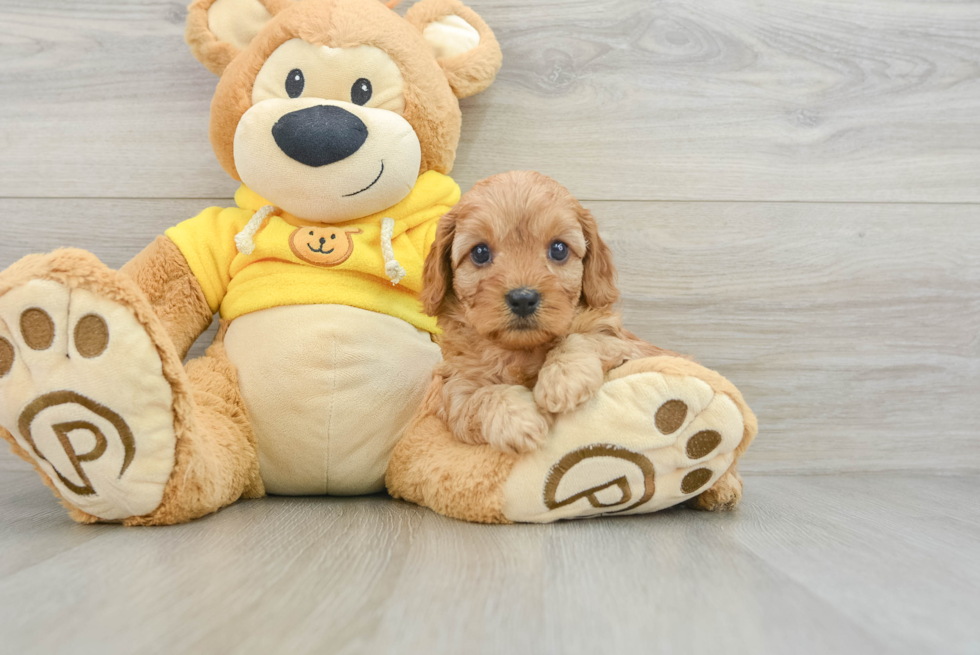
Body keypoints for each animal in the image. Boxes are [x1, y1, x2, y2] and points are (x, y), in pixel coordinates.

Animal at [418, 172, 676, 454]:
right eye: (480, 252)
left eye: (559, 249)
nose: (523, 299)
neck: (520, 351)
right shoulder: (454, 388)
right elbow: (480, 397)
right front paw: (519, 419)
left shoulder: (623, 344)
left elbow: (584, 337)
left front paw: (563, 380)